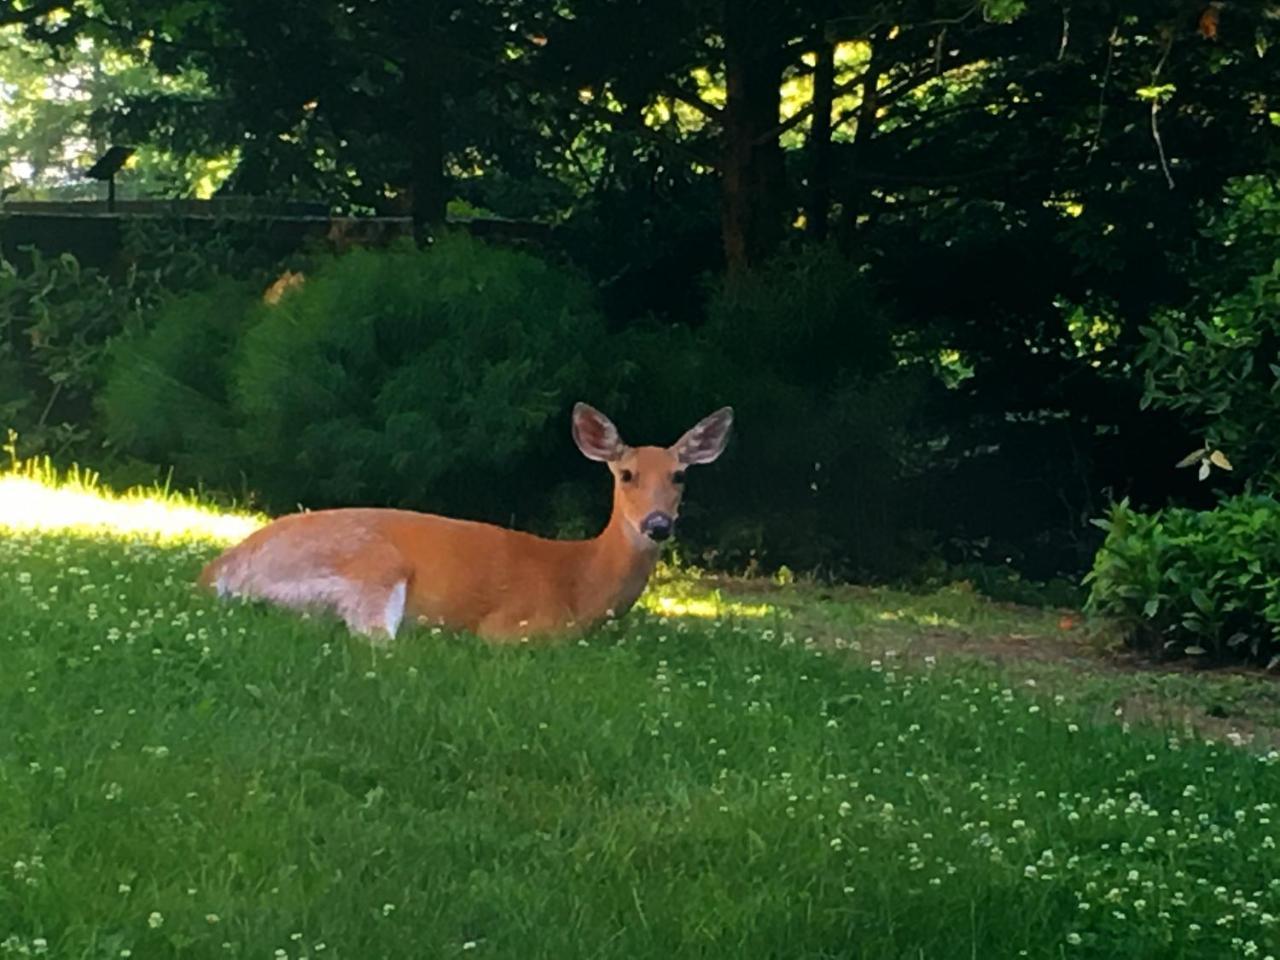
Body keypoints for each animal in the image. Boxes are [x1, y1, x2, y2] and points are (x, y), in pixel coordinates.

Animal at [200, 401, 742, 642]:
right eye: (626, 474)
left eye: (678, 476)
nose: (658, 525)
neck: (579, 583)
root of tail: (219, 572)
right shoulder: (513, 626)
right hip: (369, 565)